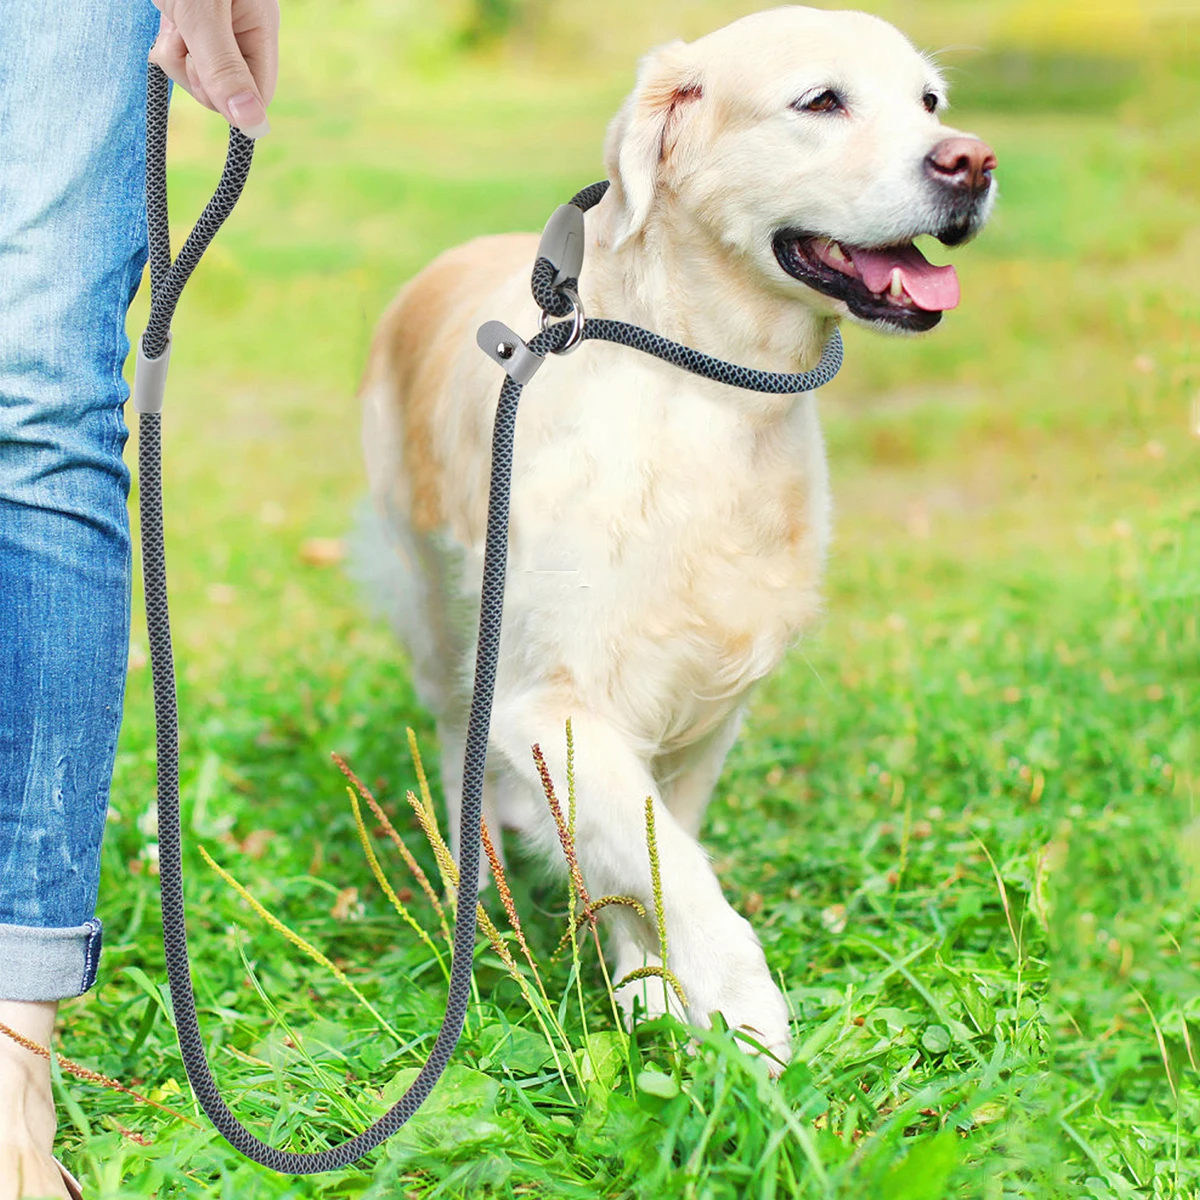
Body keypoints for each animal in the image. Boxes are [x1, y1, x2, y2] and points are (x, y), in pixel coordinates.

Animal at [355, 4, 993, 1065]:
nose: (973, 162)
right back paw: (472, 886)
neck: (710, 388)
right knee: (453, 742)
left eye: (931, 102)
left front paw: (651, 984)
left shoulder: (707, 701)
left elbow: (654, 851)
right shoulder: (552, 697)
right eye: (822, 101)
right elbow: (677, 870)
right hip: (439, 611)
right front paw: (747, 1018)